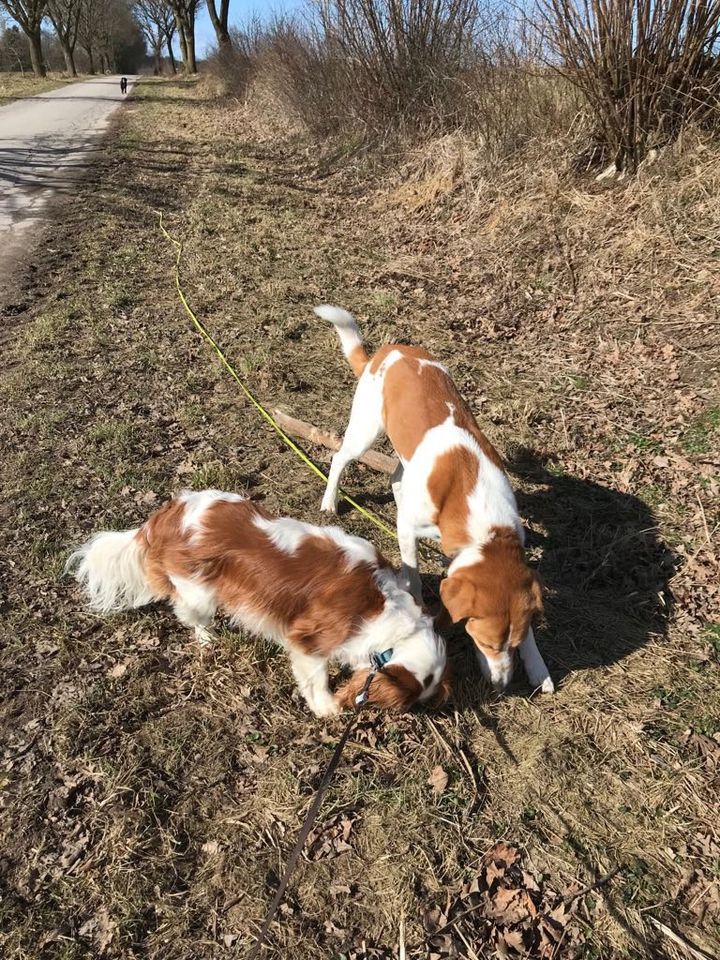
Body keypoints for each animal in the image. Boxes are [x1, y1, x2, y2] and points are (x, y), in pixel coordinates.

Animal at [67, 492, 450, 716]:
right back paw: (207, 638)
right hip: (198, 592)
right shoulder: (309, 640)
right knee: (189, 614)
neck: (388, 611)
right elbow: (316, 678)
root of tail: (167, 514)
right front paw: (327, 707)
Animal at [312, 308, 556, 688]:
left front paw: (538, 666)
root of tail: (386, 352)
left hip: (405, 453)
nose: (501, 685)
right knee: (339, 458)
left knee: (397, 476)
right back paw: (330, 502)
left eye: (513, 645)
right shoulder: (409, 530)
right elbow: (411, 573)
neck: (480, 514)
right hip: (365, 434)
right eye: (484, 642)